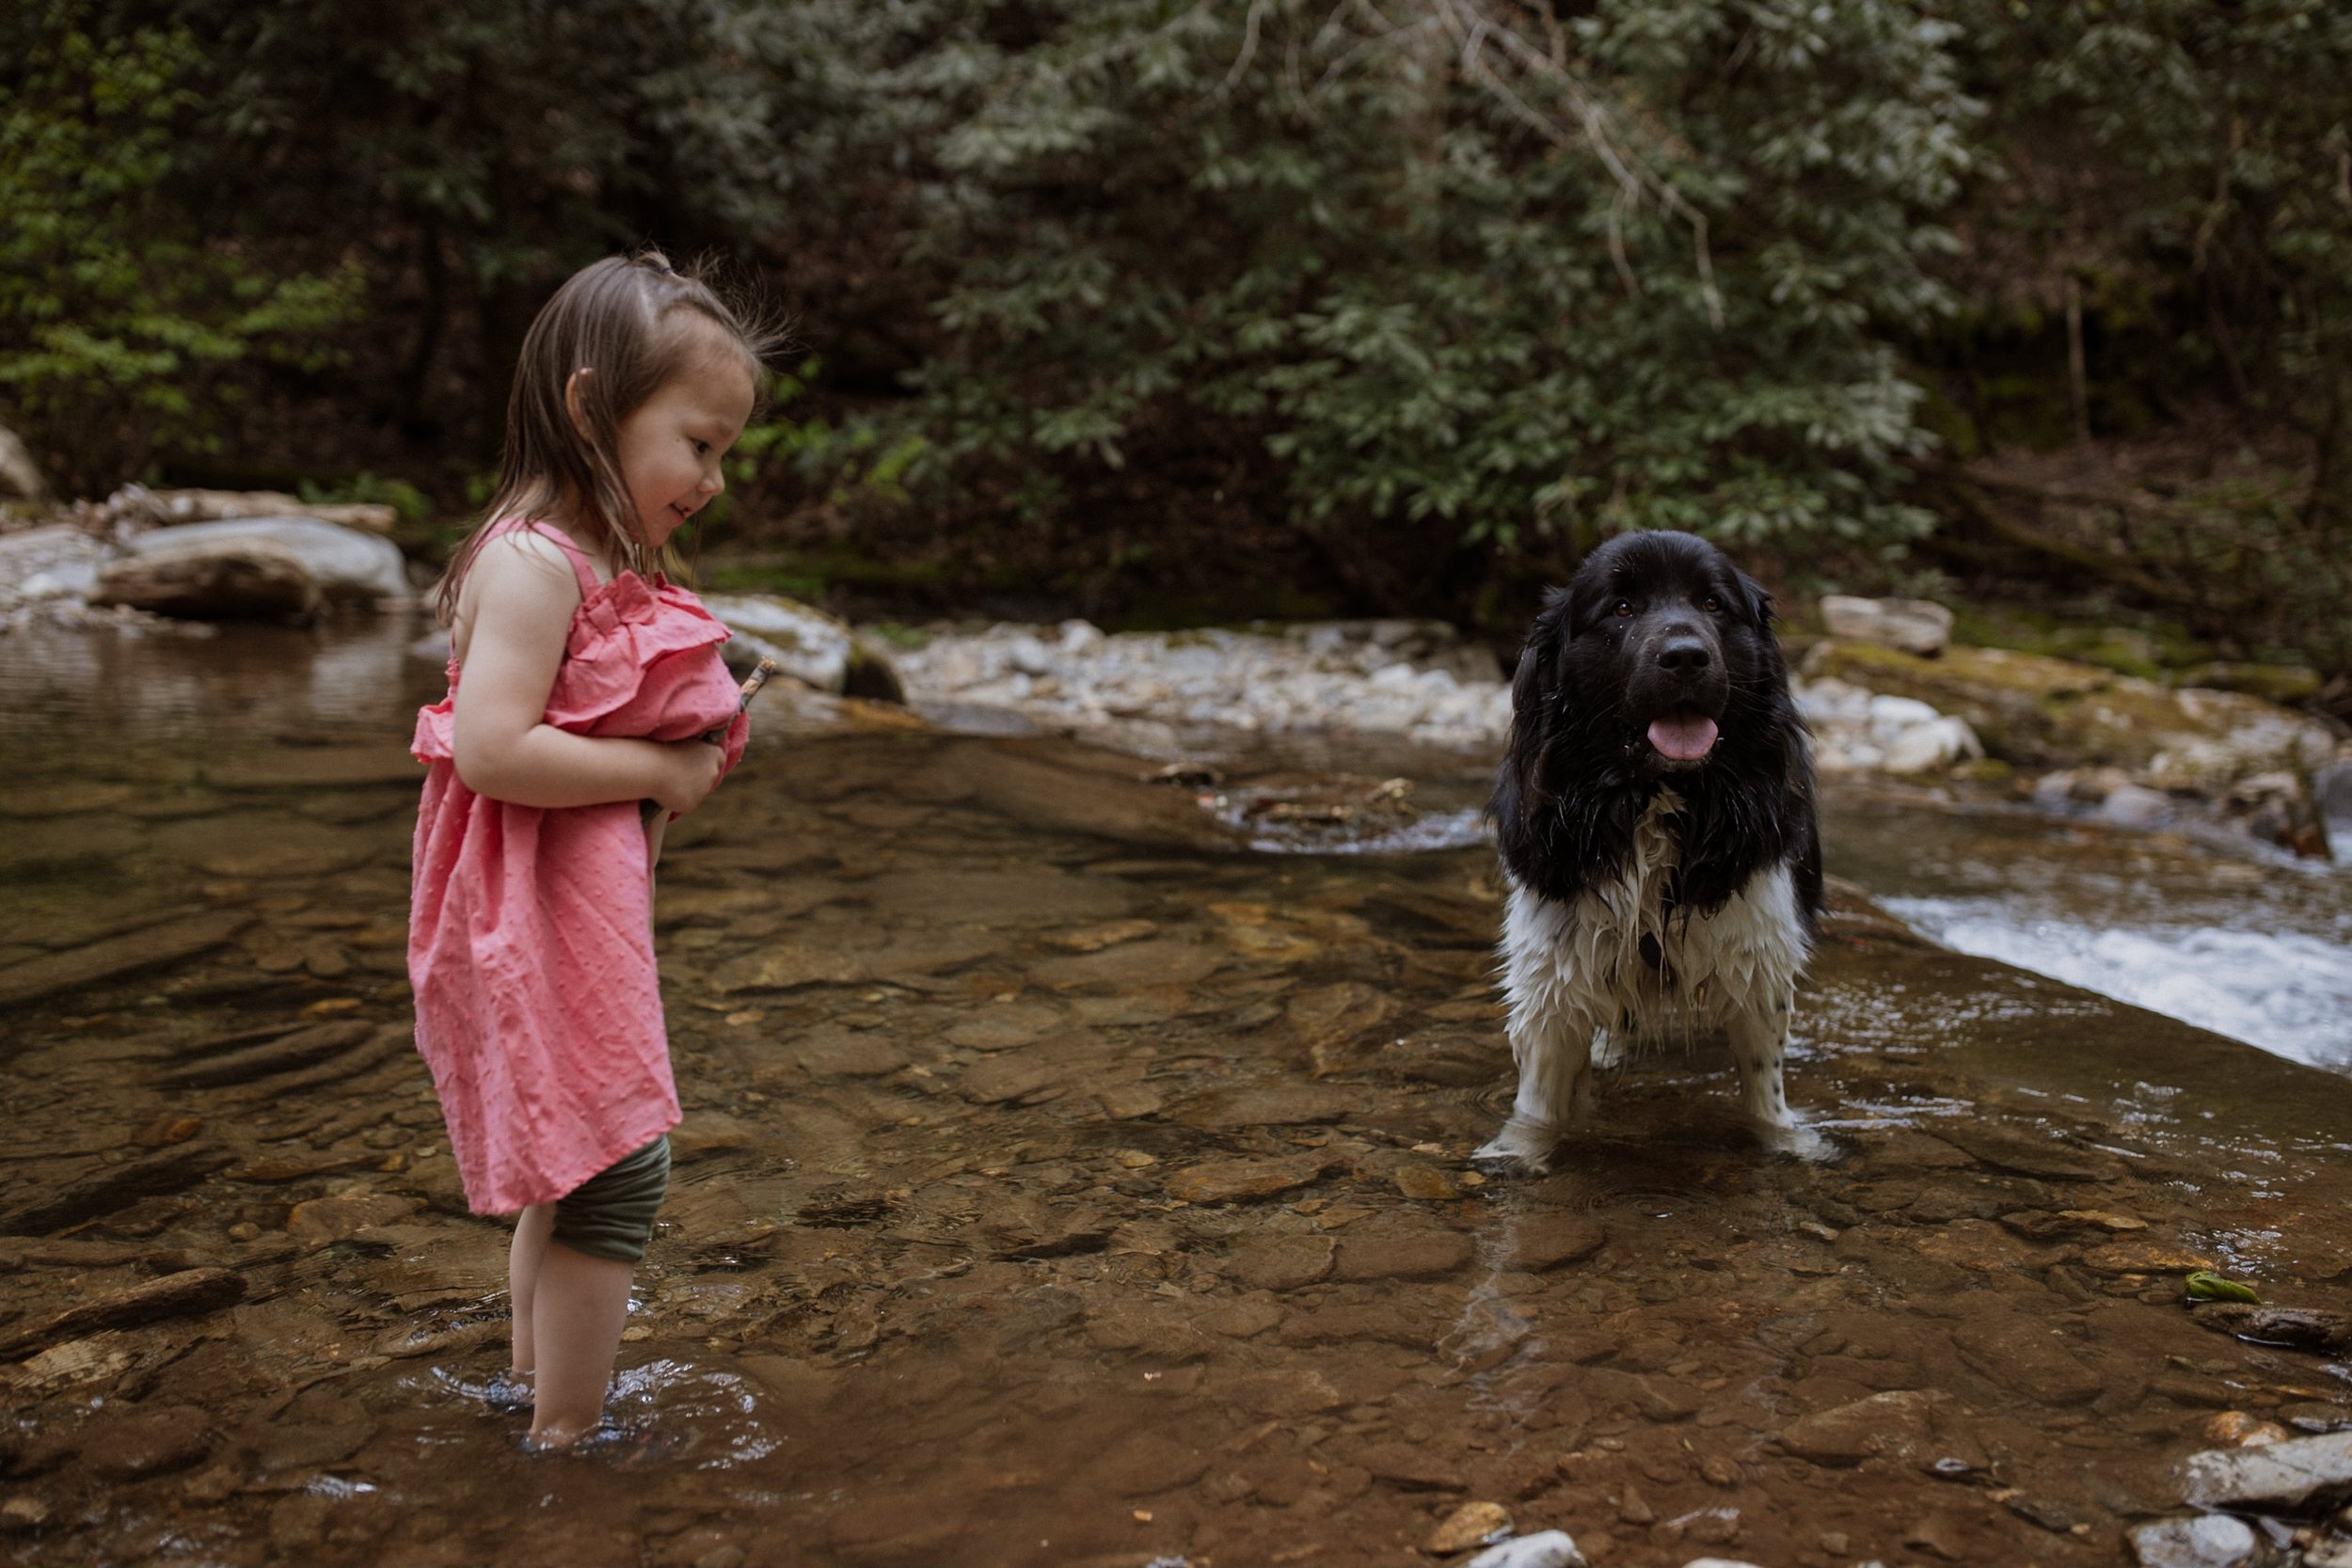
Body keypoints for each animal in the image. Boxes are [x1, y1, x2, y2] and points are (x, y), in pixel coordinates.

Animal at [1477, 533, 1825, 1170]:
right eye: (1621, 608)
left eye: (1713, 603)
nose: (1685, 656)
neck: (1654, 799)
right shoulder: (1553, 969)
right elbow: (1539, 1097)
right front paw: (1519, 1151)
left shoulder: (1758, 951)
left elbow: (1763, 1084)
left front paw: (1786, 1141)